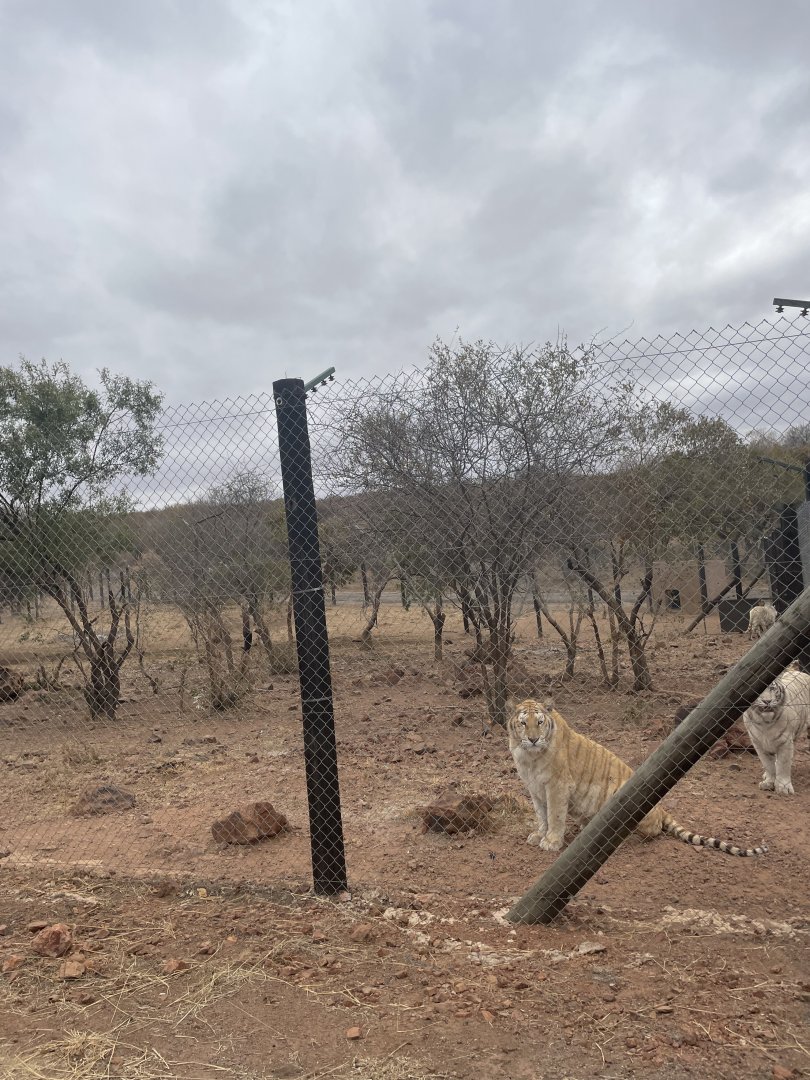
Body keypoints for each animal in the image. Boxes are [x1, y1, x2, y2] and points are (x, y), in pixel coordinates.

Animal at [508, 698, 767, 857]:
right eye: (523, 723)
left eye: (539, 722)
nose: (533, 739)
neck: (529, 757)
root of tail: (661, 808)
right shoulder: (535, 789)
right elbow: (542, 815)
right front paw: (539, 835)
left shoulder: (557, 787)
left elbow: (555, 815)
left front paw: (551, 841)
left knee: (649, 831)